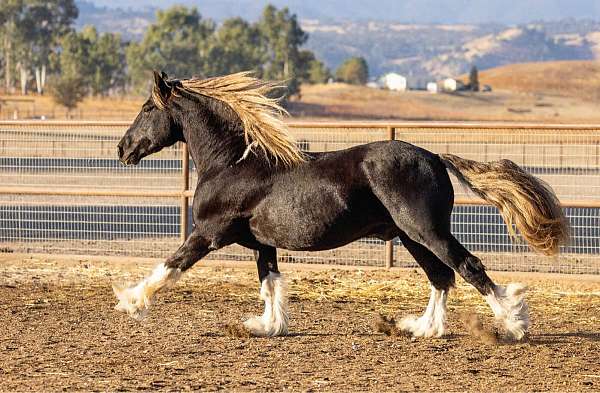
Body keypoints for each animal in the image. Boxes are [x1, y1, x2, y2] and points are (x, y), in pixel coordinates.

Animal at [112, 71, 568, 340]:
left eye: (147, 107)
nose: (122, 149)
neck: (233, 163)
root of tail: (435, 157)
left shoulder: (208, 234)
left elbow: (169, 267)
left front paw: (130, 300)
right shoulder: (262, 244)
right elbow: (270, 282)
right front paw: (267, 325)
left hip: (426, 231)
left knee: (467, 267)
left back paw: (513, 323)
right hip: (411, 237)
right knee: (441, 277)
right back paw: (421, 328)